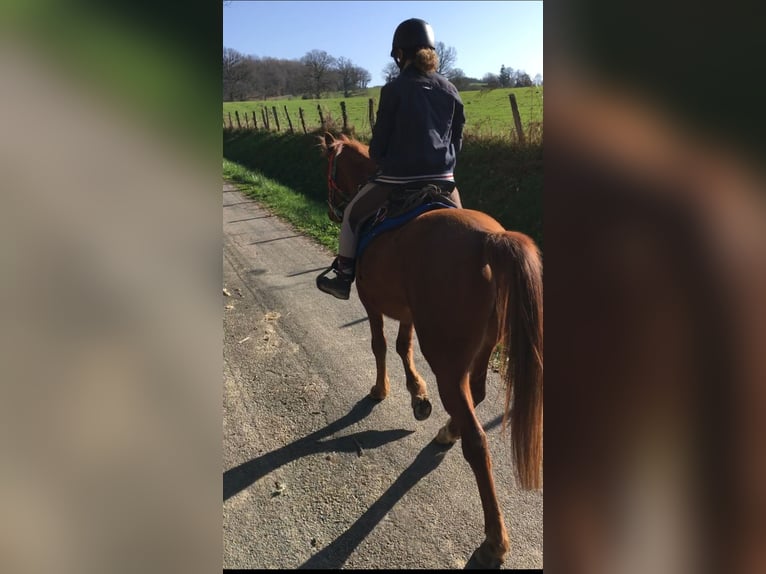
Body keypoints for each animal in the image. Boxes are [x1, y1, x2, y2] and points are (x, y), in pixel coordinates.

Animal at [317, 132, 544, 567]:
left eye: (329, 167)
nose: (335, 207)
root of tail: (489, 240)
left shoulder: (371, 303)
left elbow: (380, 344)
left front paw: (381, 390)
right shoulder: (408, 311)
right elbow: (403, 346)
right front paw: (417, 397)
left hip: (447, 362)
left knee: (477, 440)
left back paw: (495, 539)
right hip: (480, 349)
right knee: (477, 393)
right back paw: (446, 429)